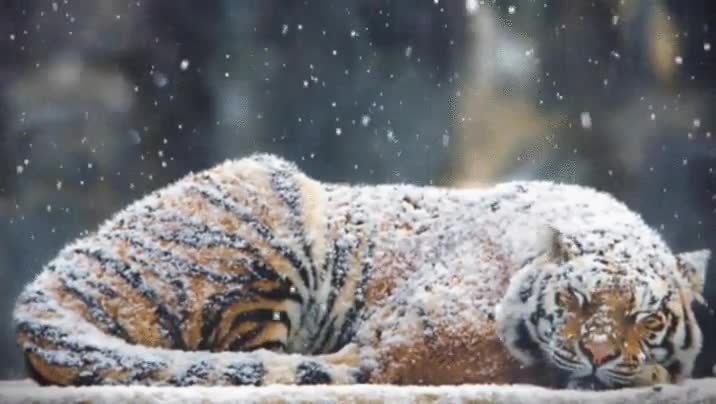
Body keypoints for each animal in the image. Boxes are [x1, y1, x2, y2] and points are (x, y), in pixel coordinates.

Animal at [13, 153, 709, 389]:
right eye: (576, 301)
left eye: (646, 317)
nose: (597, 353)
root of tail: (46, 280)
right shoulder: (410, 340)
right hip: (270, 207)